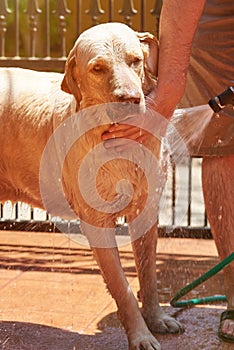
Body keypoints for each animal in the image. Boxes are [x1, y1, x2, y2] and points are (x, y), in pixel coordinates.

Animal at [0, 23, 183, 348]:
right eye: (98, 68)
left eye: (135, 60)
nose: (130, 99)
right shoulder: (96, 223)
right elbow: (122, 287)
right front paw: (141, 335)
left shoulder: (146, 211)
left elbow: (148, 275)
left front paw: (157, 319)